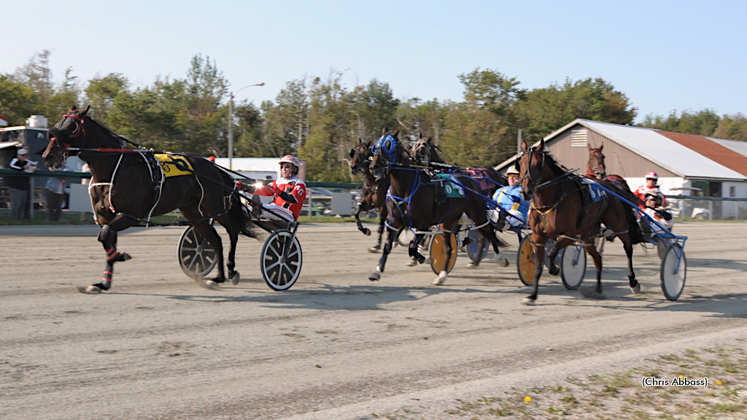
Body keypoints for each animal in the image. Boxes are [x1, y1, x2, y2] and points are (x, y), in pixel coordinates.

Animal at [43, 106, 262, 294]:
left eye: (72, 126)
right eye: (59, 122)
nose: (47, 156)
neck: (114, 169)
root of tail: (215, 169)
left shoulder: (129, 215)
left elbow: (105, 237)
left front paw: (120, 256)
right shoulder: (107, 218)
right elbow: (106, 240)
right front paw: (103, 282)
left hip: (215, 207)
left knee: (232, 230)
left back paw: (231, 271)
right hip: (194, 213)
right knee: (215, 239)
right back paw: (217, 278)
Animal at [368, 129, 508, 286]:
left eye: (388, 145)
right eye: (375, 146)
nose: (373, 167)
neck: (406, 188)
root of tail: (471, 180)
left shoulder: (424, 224)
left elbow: (413, 246)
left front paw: (427, 258)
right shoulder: (395, 221)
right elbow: (388, 246)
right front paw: (377, 271)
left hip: (477, 214)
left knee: (487, 230)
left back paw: (500, 259)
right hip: (449, 221)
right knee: (449, 247)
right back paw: (442, 275)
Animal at [520, 139, 644, 304]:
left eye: (537, 163)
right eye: (520, 163)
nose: (526, 191)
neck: (550, 200)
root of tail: (611, 185)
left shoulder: (568, 235)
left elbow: (552, 252)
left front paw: (555, 269)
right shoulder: (538, 237)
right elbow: (537, 268)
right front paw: (532, 296)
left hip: (619, 225)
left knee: (628, 249)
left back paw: (633, 282)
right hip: (587, 236)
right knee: (598, 258)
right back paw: (598, 290)